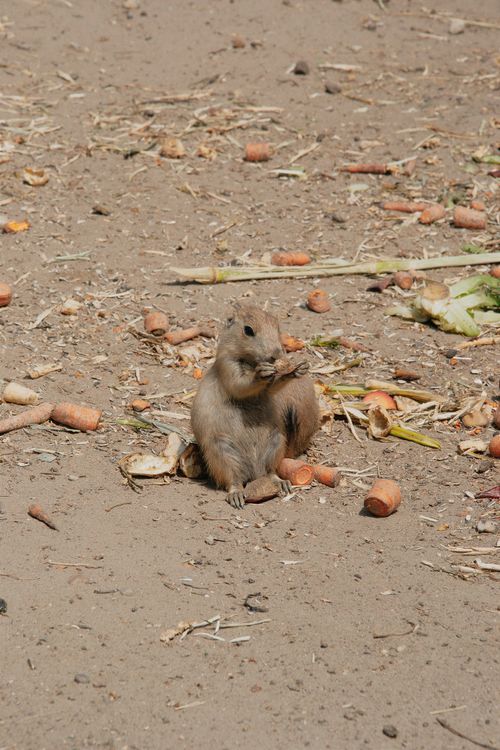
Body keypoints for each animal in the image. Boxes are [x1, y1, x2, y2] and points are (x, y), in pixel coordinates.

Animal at [191, 304, 319, 508]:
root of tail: (254, 471)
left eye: (277, 327)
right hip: (221, 453)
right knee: (233, 480)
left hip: (276, 441)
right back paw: (237, 496)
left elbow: (274, 387)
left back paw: (282, 483)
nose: (276, 354)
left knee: (270, 471)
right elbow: (240, 385)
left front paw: (298, 369)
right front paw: (260, 374)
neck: (251, 361)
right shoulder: (228, 366)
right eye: (248, 330)